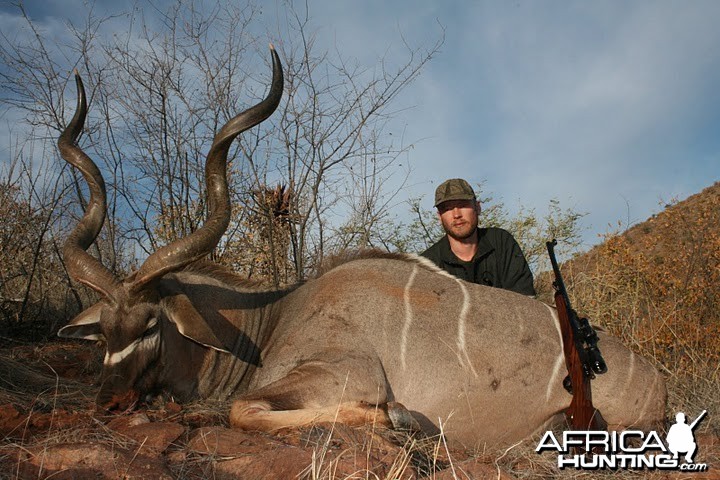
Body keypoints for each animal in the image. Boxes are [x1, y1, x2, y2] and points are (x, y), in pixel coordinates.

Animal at [56, 47, 664, 448]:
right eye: (103, 331)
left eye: (150, 324)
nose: (108, 402)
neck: (274, 318)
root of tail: (656, 379)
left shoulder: (344, 372)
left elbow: (242, 410)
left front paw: (401, 419)